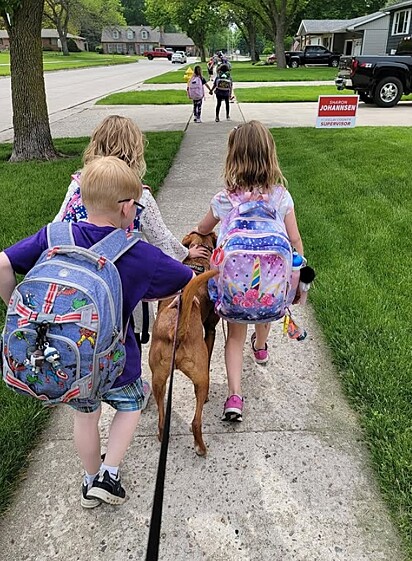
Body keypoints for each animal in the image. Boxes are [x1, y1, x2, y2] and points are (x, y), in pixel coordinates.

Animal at [148, 232, 219, 456]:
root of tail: (176, 330)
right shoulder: (211, 331)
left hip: (158, 379)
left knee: (162, 421)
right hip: (201, 378)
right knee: (196, 422)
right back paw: (201, 448)